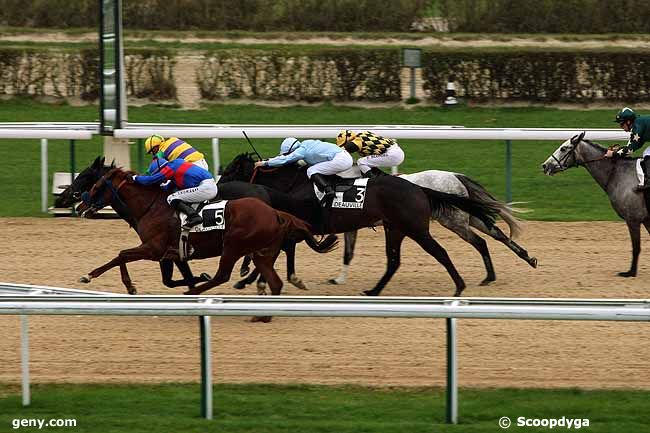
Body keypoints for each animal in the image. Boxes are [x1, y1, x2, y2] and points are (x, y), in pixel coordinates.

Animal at [78, 167, 336, 296]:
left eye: (96, 186)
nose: (80, 206)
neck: (151, 206)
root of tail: (274, 212)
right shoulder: (171, 253)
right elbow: (170, 280)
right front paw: (197, 278)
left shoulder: (152, 249)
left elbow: (121, 255)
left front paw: (92, 276)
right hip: (262, 250)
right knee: (273, 272)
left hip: (233, 245)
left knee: (225, 274)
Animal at [540, 130, 644, 276]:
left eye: (563, 148)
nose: (545, 165)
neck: (618, 173)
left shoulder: (633, 219)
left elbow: (636, 246)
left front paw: (630, 272)